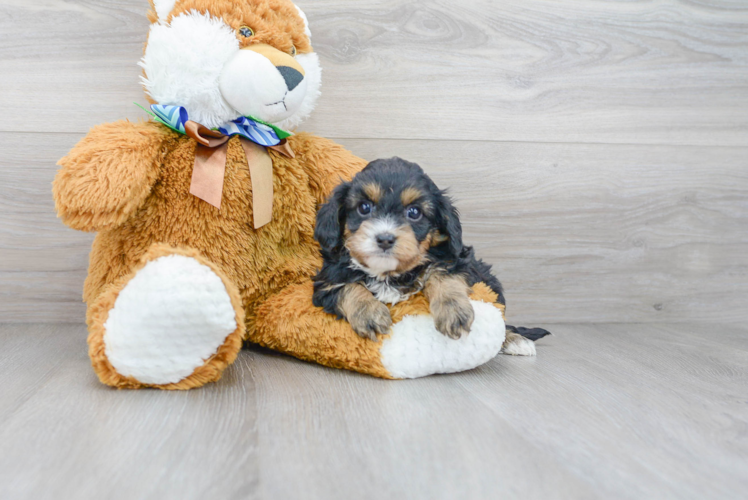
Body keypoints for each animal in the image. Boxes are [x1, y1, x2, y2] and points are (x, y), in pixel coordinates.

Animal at [312, 158, 548, 354]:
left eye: (414, 212)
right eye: (364, 207)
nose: (385, 239)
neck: (388, 273)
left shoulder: (458, 260)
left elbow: (444, 274)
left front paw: (453, 310)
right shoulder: (325, 282)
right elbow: (347, 287)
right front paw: (368, 313)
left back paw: (514, 340)